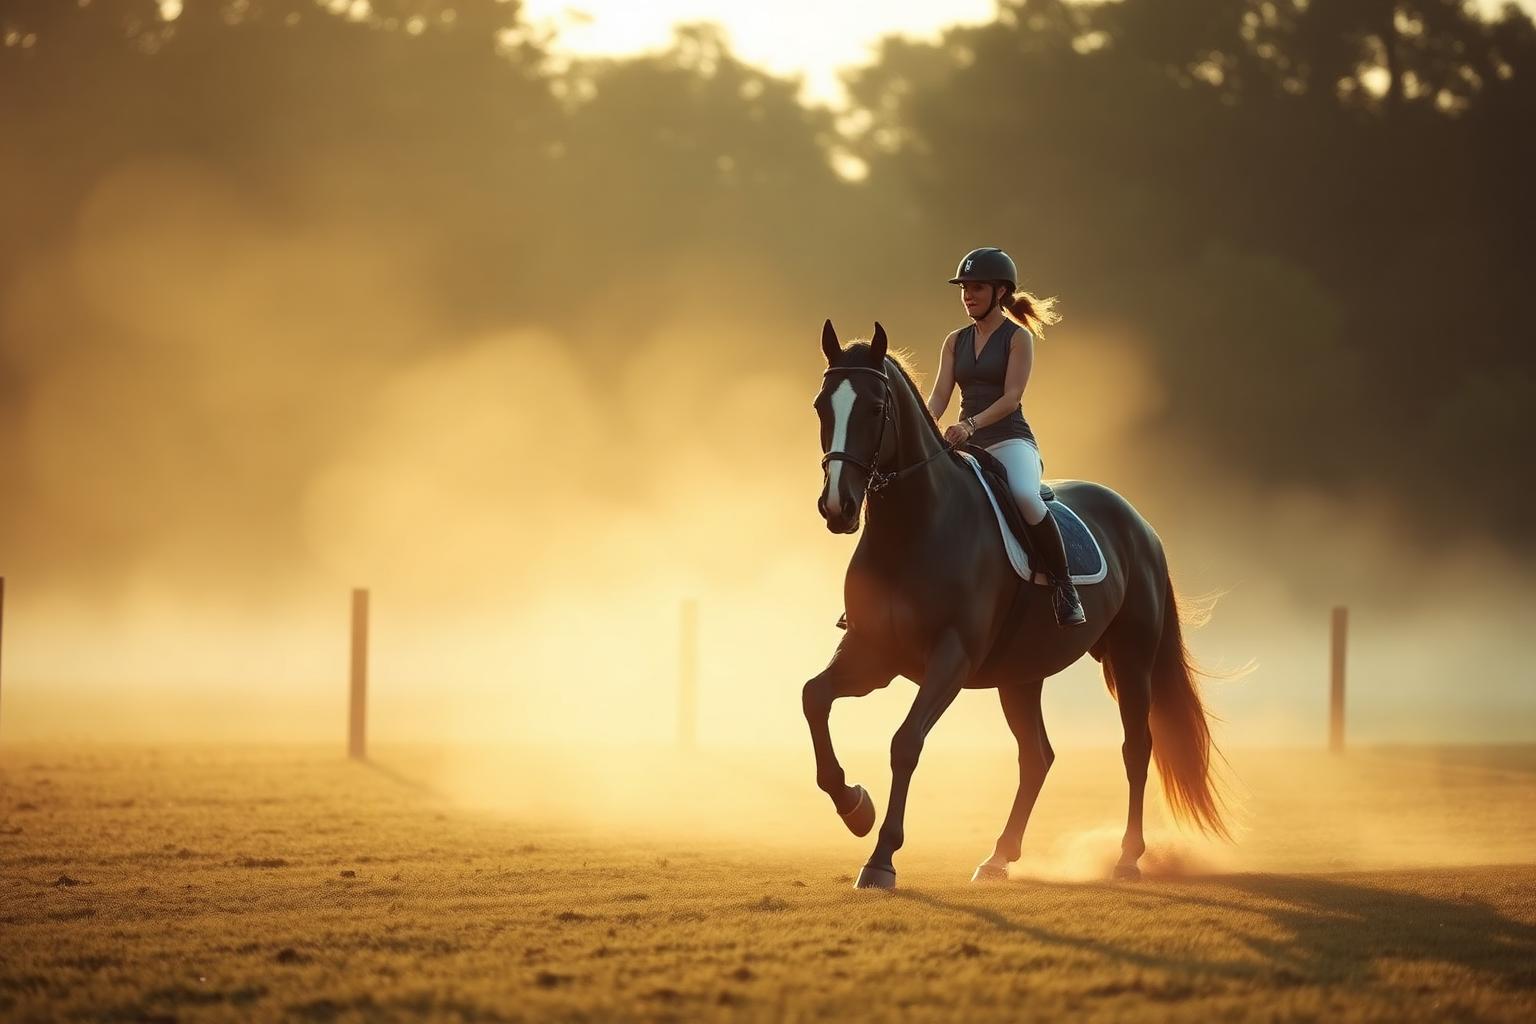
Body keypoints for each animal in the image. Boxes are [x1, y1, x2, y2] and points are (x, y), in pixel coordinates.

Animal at [805, 320, 1228, 889]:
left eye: (875, 408)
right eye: (822, 407)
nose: (838, 507)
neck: (916, 527)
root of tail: (1140, 523)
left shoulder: (951, 660)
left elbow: (905, 742)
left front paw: (881, 858)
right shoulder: (873, 655)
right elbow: (814, 698)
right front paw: (855, 807)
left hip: (1132, 658)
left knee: (1135, 748)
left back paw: (1126, 858)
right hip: (1022, 675)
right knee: (1037, 757)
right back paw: (999, 857)